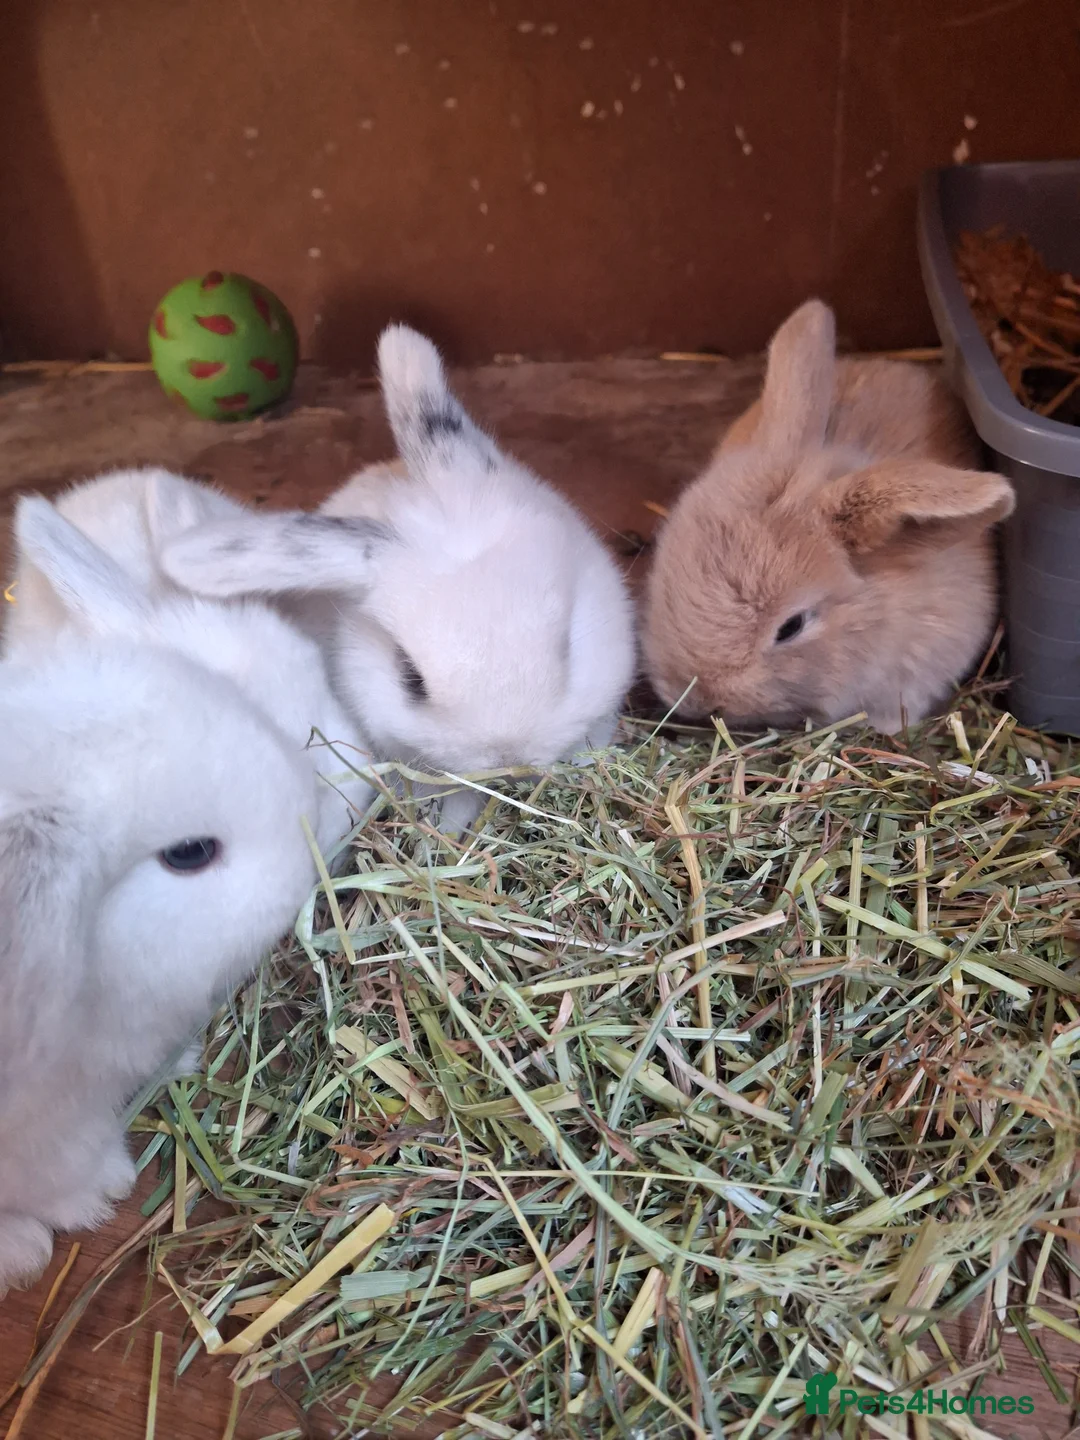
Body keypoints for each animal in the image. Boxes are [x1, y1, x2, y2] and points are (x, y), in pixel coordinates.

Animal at [0, 631, 327, 1294]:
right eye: (190, 853)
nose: (312, 817)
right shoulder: (39, 1136)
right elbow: (59, 1173)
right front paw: (102, 1195)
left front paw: (184, 1060)